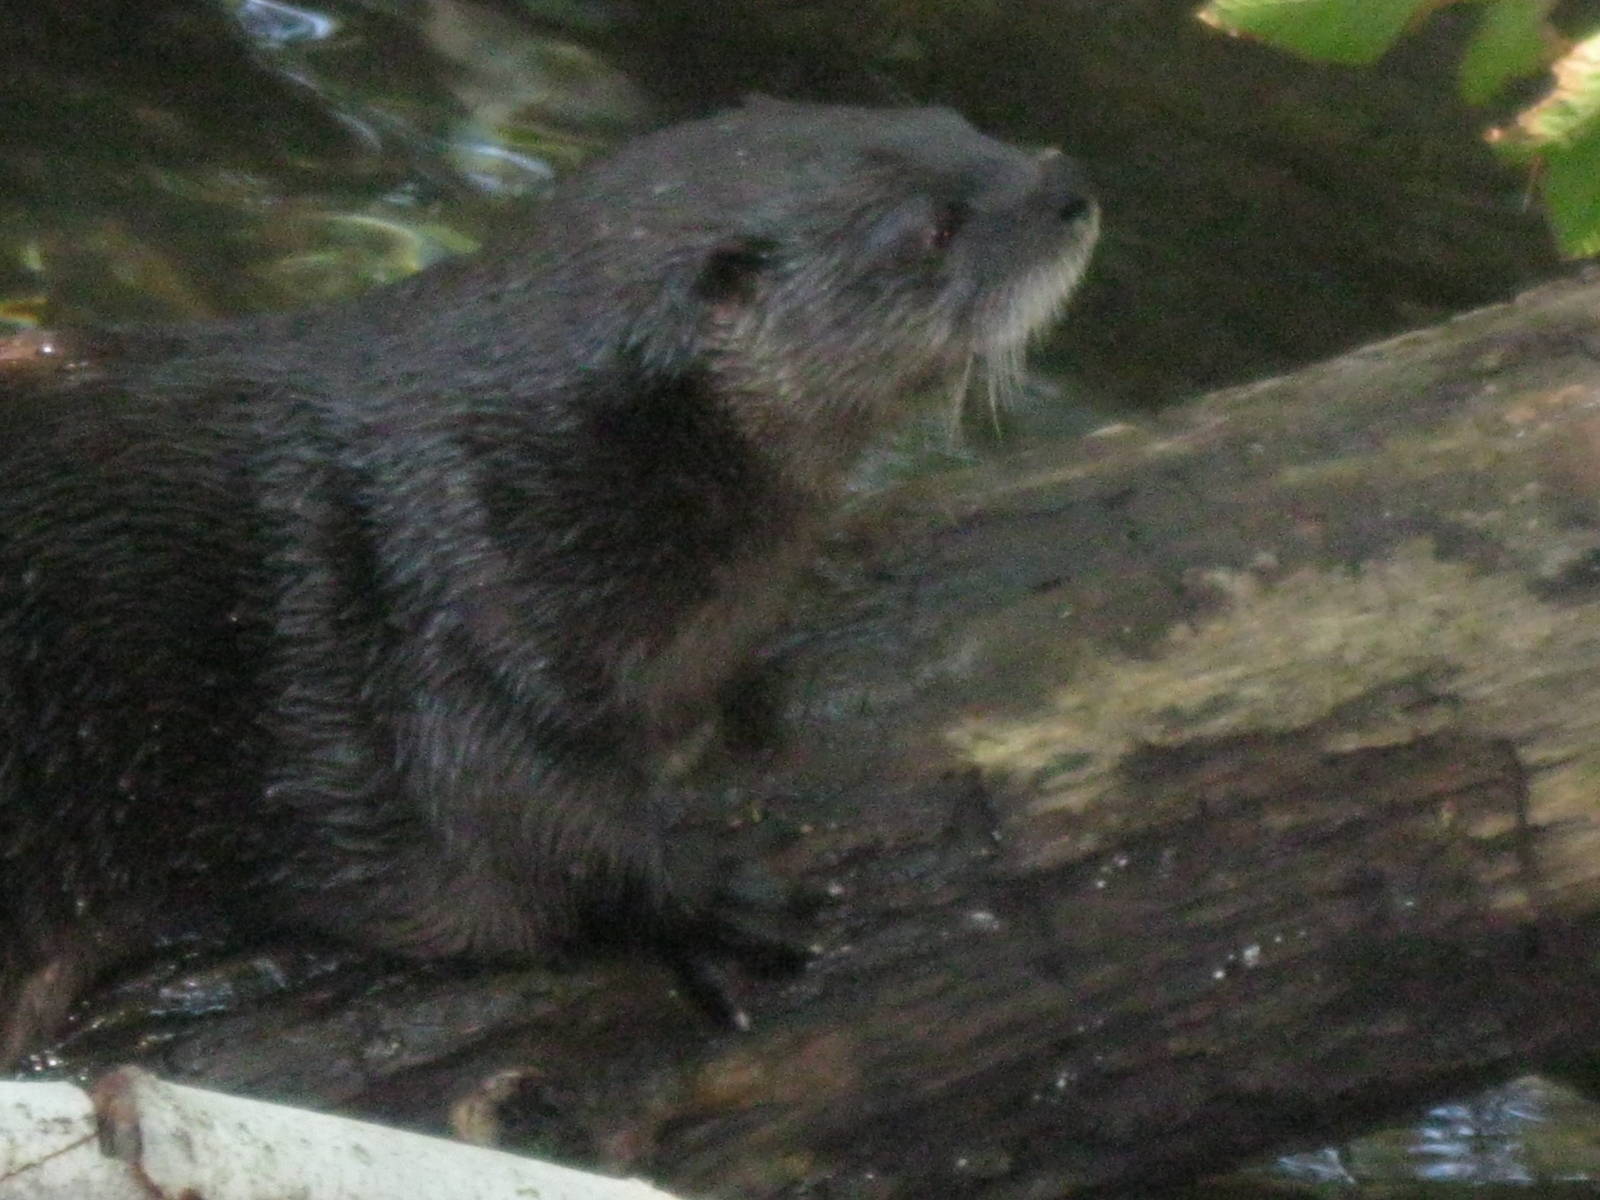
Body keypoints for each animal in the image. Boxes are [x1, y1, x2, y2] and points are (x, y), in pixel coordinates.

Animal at [0, 98, 1098, 1061]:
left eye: (958, 122)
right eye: (930, 231)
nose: (1069, 191)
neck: (552, 482)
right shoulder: (455, 625)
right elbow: (527, 823)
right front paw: (718, 899)